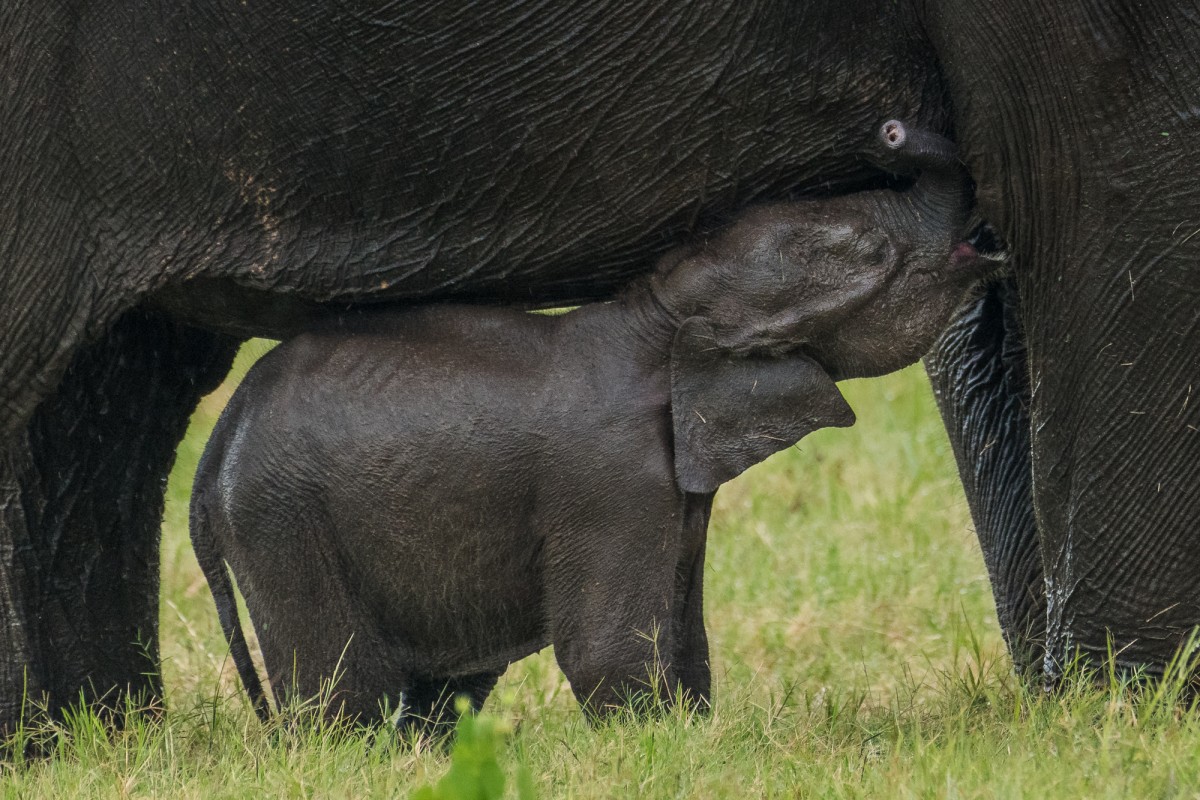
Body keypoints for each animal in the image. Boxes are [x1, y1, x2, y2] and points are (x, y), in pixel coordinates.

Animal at [189, 120, 993, 734]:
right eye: (873, 256)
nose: (892, 129)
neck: (656, 313)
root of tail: (217, 441)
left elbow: (683, 630)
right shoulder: (613, 478)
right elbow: (608, 648)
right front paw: (655, 744)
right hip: (282, 518)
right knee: (342, 684)